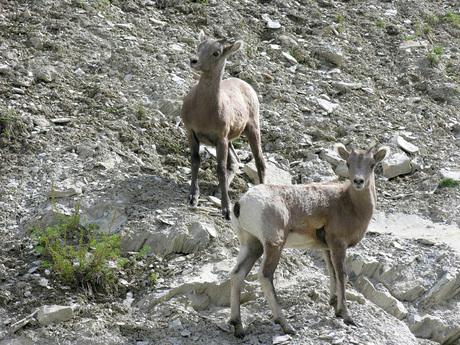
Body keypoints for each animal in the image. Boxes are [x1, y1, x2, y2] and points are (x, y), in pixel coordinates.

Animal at [181, 29, 266, 218]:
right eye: (199, 45)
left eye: (216, 53)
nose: (193, 60)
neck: (204, 112)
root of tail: (245, 84)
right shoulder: (192, 132)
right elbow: (195, 161)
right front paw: (193, 197)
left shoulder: (220, 138)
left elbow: (220, 169)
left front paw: (226, 210)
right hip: (231, 140)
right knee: (235, 161)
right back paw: (218, 190)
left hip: (251, 128)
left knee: (259, 161)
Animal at [228, 142, 390, 336]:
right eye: (348, 163)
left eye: (372, 165)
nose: (358, 181)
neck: (350, 204)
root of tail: (241, 203)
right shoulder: (338, 244)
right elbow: (341, 274)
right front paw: (347, 316)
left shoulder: (326, 248)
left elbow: (331, 272)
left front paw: (335, 306)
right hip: (274, 244)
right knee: (265, 275)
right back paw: (286, 325)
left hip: (252, 245)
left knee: (237, 274)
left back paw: (238, 326)